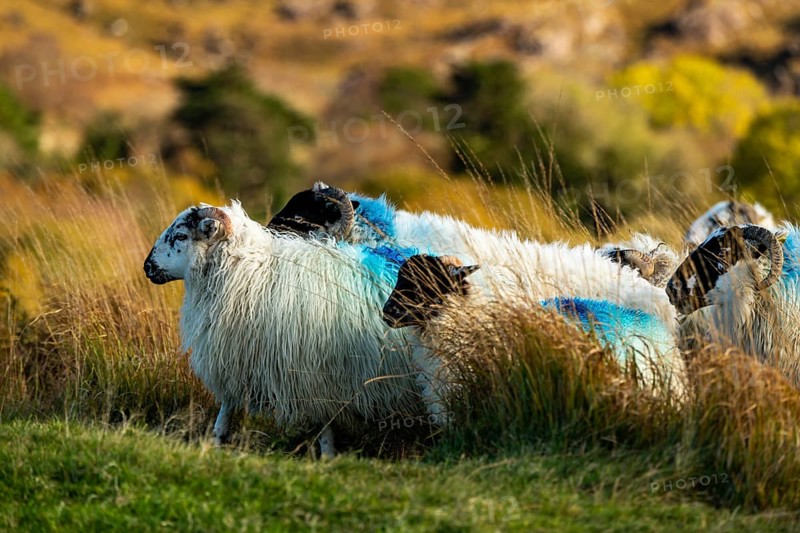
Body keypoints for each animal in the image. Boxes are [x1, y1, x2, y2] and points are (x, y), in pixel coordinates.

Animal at [143, 200, 424, 457]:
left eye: (181, 236)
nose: (147, 267)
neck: (250, 273)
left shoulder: (314, 374)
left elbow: (325, 426)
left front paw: (328, 458)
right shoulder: (240, 356)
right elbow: (227, 408)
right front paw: (215, 441)